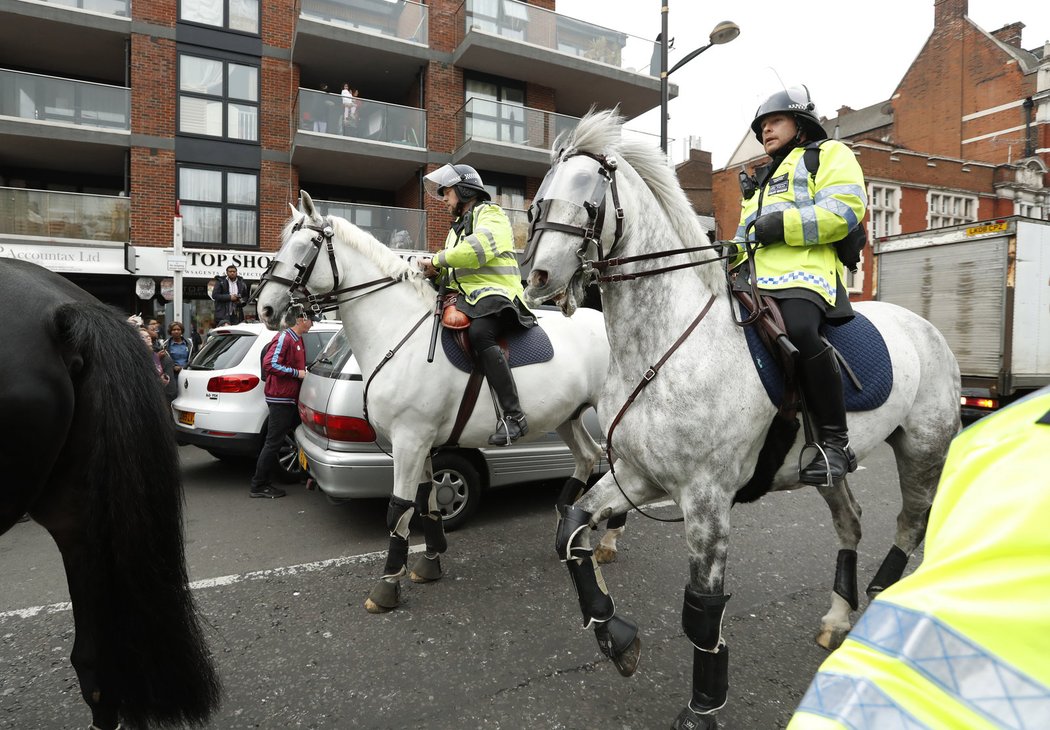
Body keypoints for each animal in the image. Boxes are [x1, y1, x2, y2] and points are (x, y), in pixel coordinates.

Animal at [251, 191, 613, 613]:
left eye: (307, 244)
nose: (266, 309)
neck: (397, 330)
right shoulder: (417, 442)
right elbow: (427, 501)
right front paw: (429, 560)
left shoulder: (409, 441)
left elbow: (399, 507)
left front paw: (387, 585)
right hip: (567, 416)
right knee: (588, 456)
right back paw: (567, 523)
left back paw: (606, 541)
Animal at [522, 108, 961, 730]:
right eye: (539, 198)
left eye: (589, 193)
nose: (536, 277)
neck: (666, 345)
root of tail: (925, 328)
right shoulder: (637, 476)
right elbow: (572, 530)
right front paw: (617, 638)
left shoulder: (706, 500)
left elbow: (702, 610)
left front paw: (703, 706)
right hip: (830, 469)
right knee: (851, 523)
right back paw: (838, 618)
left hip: (922, 448)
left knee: (910, 526)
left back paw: (881, 608)